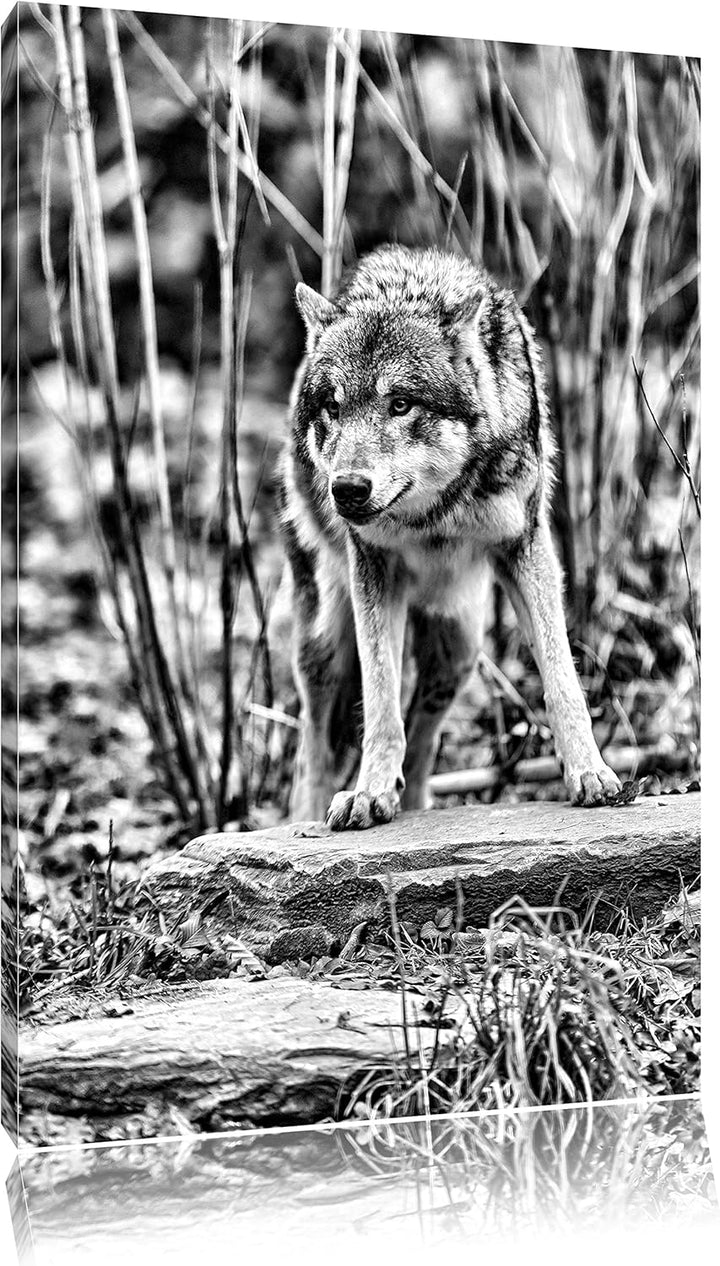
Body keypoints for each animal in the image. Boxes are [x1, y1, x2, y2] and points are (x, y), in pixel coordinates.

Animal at [277, 244, 621, 830]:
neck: (435, 516)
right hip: (325, 640)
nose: (347, 489)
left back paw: (413, 807)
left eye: (400, 404)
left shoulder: (525, 549)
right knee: (313, 749)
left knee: (423, 745)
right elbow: (381, 700)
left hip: (459, 648)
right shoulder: (373, 568)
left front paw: (589, 773)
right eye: (334, 408)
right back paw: (309, 818)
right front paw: (368, 792)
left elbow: (561, 678)